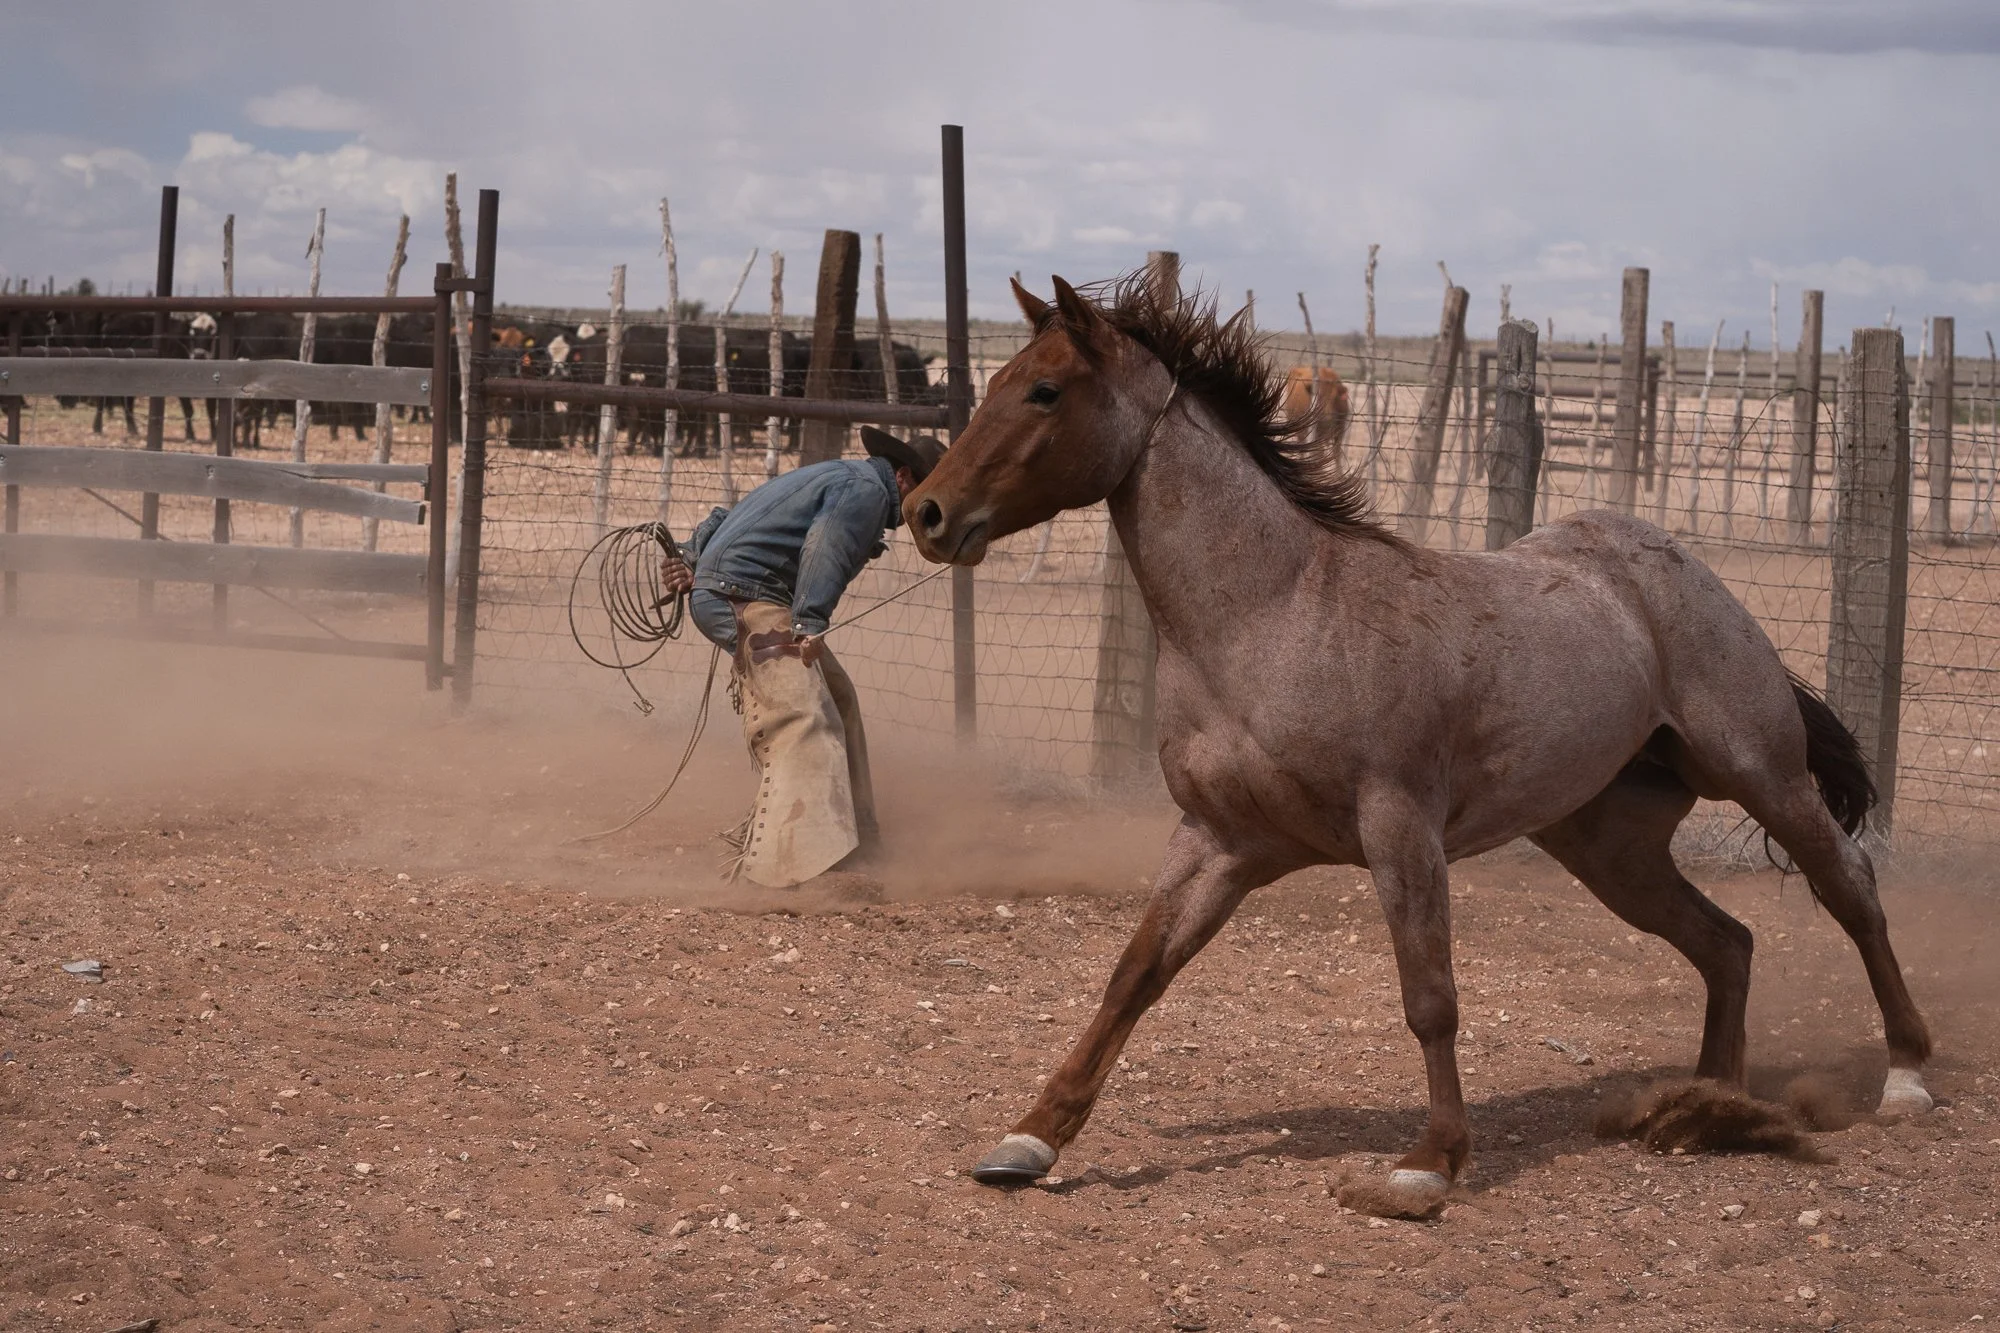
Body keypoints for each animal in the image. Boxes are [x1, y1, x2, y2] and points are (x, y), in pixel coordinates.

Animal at [901, 274, 1935, 1218]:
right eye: (998, 380)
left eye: (1044, 391)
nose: (926, 512)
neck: (1272, 616)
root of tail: (1670, 562)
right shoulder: (1216, 841)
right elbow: (1133, 975)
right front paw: (1030, 1137)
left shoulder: (1400, 828)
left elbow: (1429, 995)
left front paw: (1428, 1164)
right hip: (1609, 846)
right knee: (1727, 941)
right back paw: (1704, 1107)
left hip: (1763, 774)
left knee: (1851, 890)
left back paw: (1907, 1076)